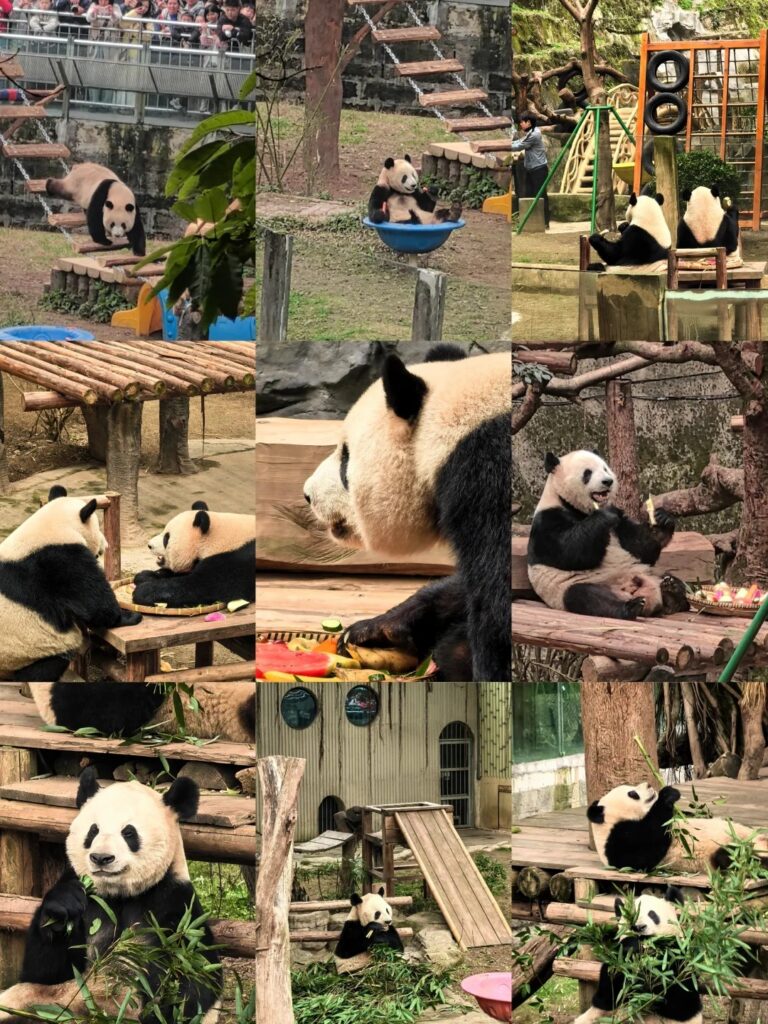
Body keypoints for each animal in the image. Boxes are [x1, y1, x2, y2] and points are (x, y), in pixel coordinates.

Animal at [0, 486, 141, 683]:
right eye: (97, 527)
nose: (105, 545)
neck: (54, 525)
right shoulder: (61, 559)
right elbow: (95, 604)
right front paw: (129, 616)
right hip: (31, 648)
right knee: (44, 667)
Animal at [0, 768, 221, 1023]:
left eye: (129, 832)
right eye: (93, 830)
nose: (101, 858)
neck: (118, 895)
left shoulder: (174, 903)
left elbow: (197, 977)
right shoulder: (86, 897)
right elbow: (43, 971)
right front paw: (63, 907)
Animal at [527, 450, 689, 620]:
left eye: (605, 469)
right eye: (587, 473)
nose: (608, 481)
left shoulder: (620, 525)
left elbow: (639, 547)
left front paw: (662, 520)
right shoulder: (547, 521)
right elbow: (570, 552)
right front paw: (604, 516)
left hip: (648, 572)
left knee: (669, 577)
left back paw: (673, 593)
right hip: (573, 587)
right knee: (587, 596)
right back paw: (630, 607)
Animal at [574, 887, 702, 1024]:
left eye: (652, 914)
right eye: (631, 916)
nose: (639, 927)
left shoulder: (679, 959)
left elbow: (681, 1002)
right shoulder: (618, 961)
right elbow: (609, 994)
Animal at [587, 781, 768, 873]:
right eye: (633, 793)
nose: (649, 785)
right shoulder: (617, 843)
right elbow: (645, 851)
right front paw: (667, 795)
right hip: (727, 854)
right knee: (731, 856)